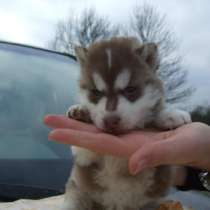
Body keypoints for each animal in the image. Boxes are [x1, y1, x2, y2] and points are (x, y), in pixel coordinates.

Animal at [62, 37, 192, 210]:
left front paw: (169, 113)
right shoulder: (82, 158)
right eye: (96, 92)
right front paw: (81, 111)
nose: (110, 121)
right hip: (77, 193)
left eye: (130, 89)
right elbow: (83, 146)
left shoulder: (162, 165)